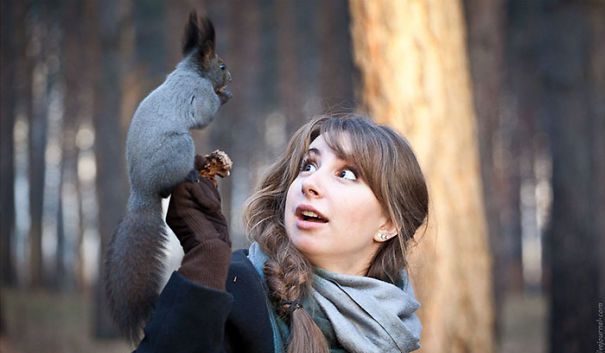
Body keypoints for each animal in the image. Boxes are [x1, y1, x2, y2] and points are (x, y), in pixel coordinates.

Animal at [104, 12, 231, 342]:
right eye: (221, 66)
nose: (231, 78)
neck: (188, 70)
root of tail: (142, 190)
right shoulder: (198, 93)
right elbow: (206, 112)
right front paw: (224, 96)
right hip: (180, 147)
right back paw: (192, 171)